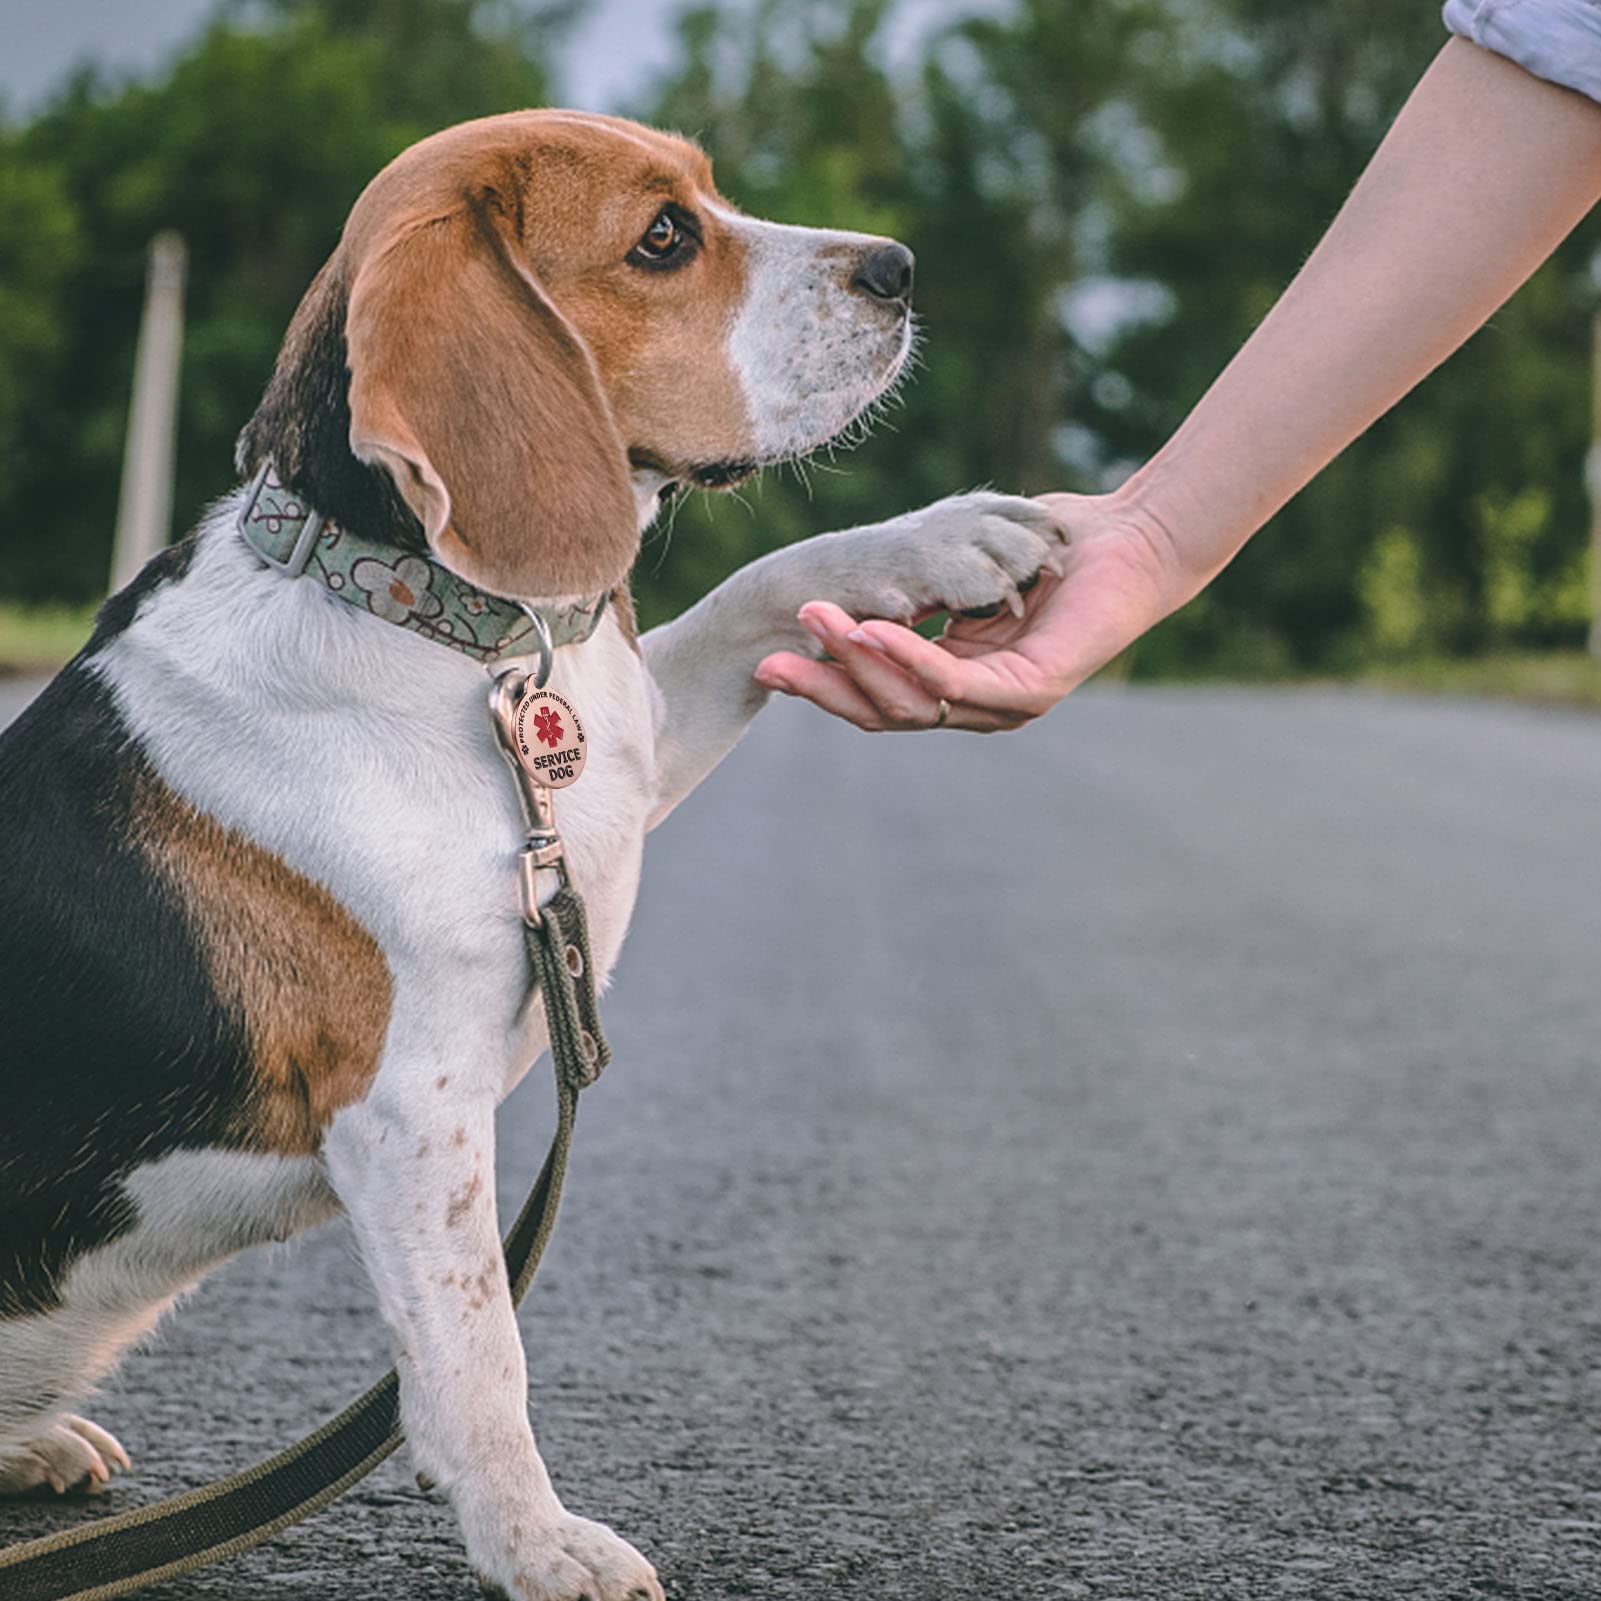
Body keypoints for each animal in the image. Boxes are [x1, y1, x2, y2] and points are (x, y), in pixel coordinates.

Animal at [0, 116, 1063, 1601]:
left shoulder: (631, 751)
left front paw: (946, 536)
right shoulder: (408, 1110)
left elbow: (760, 584)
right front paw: (536, 1540)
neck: (430, 620)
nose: (898, 269)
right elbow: (476, 1351)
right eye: (663, 237)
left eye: (708, 187)